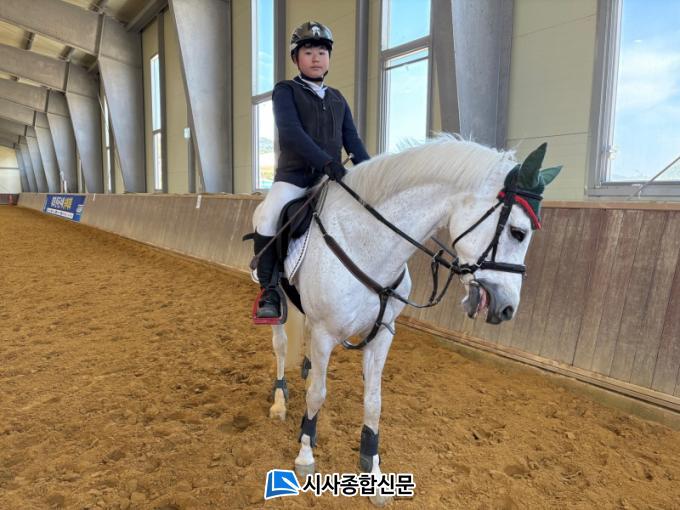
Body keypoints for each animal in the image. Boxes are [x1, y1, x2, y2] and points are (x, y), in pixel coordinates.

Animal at [253, 135, 561, 506]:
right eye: (517, 232)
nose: (507, 308)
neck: (367, 244)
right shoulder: (326, 334)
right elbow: (317, 395)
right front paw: (305, 455)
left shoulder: (382, 334)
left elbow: (374, 403)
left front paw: (373, 472)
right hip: (279, 306)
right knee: (282, 347)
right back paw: (280, 401)